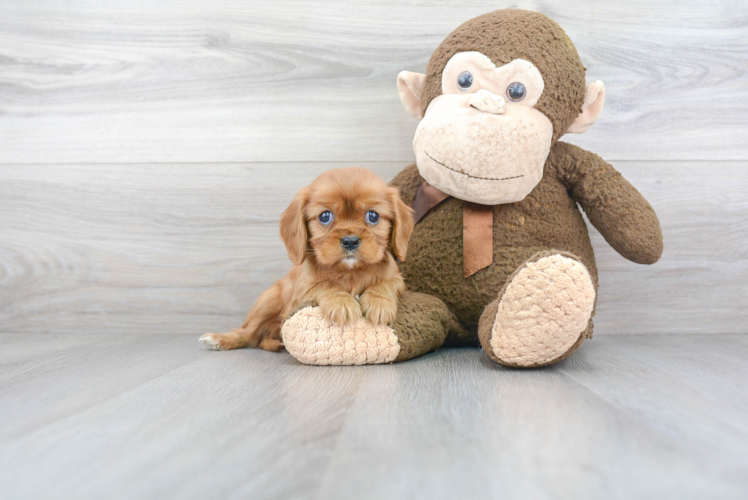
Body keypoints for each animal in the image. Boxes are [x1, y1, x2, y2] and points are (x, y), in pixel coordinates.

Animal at [200, 167, 414, 352]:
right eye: (325, 216)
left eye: (373, 216)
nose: (350, 241)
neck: (349, 272)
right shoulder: (301, 292)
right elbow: (325, 284)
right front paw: (341, 303)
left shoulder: (397, 280)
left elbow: (385, 283)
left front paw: (379, 303)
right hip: (267, 301)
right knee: (249, 334)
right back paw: (220, 339)